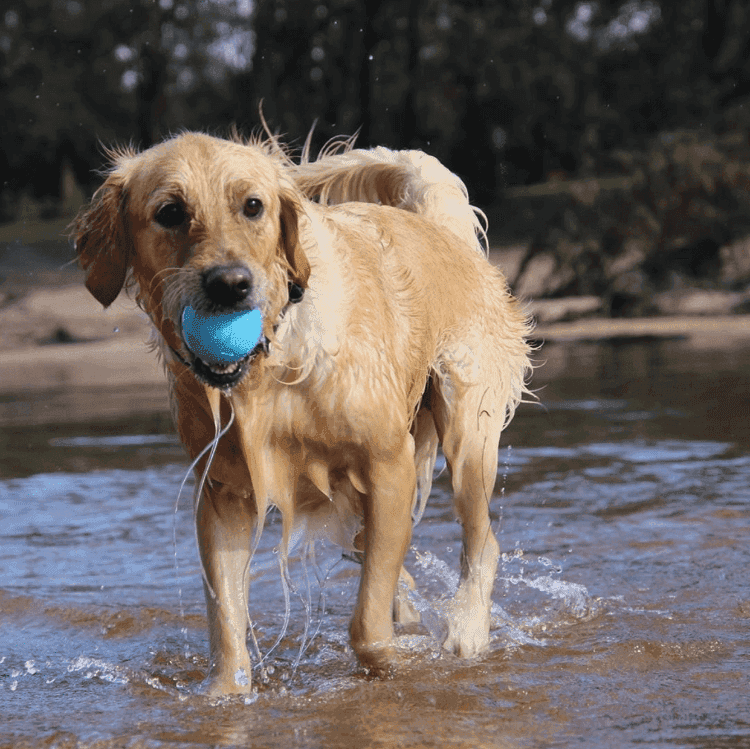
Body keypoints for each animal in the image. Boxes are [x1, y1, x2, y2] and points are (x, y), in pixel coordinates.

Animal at [75, 130, 536, 696]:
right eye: (170, 212)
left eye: (253, 206)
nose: (229, 284)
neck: (271, 362)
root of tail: (437, 226)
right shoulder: (224, 494)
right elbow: (227, 622)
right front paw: (224, 696)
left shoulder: (387, 464)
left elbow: (367, 627)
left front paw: (390, 670)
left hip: (466, 429)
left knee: (481, 541)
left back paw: (466, 629)